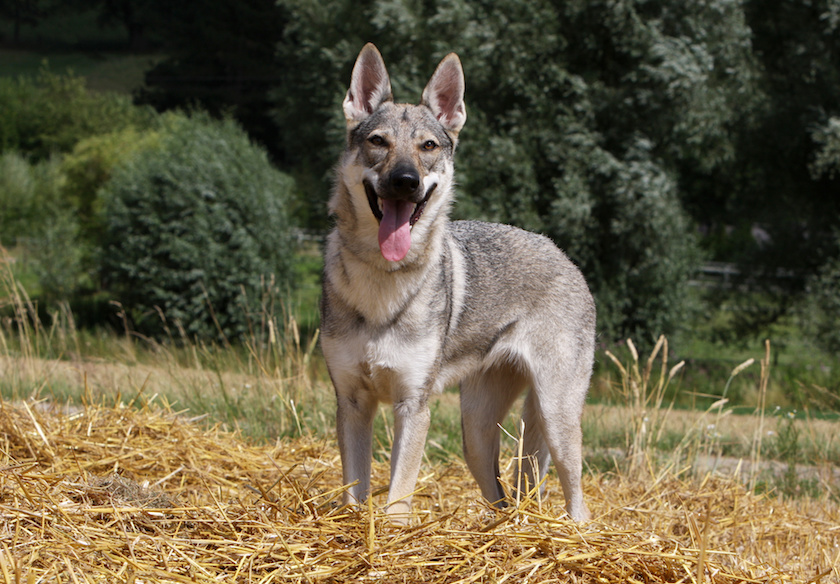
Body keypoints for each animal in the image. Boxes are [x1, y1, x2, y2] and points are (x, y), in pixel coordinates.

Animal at [322, 43, 596, 524]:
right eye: (378, 142)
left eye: (428, 146)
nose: (405, 181)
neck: (382, 280)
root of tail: (563, 255)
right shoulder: (352, 403)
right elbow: (354, 492)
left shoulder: (414, 407)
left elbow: (398, 497)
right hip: (476, 435)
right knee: (504, 495)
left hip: (556, 419)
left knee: (575, 499)